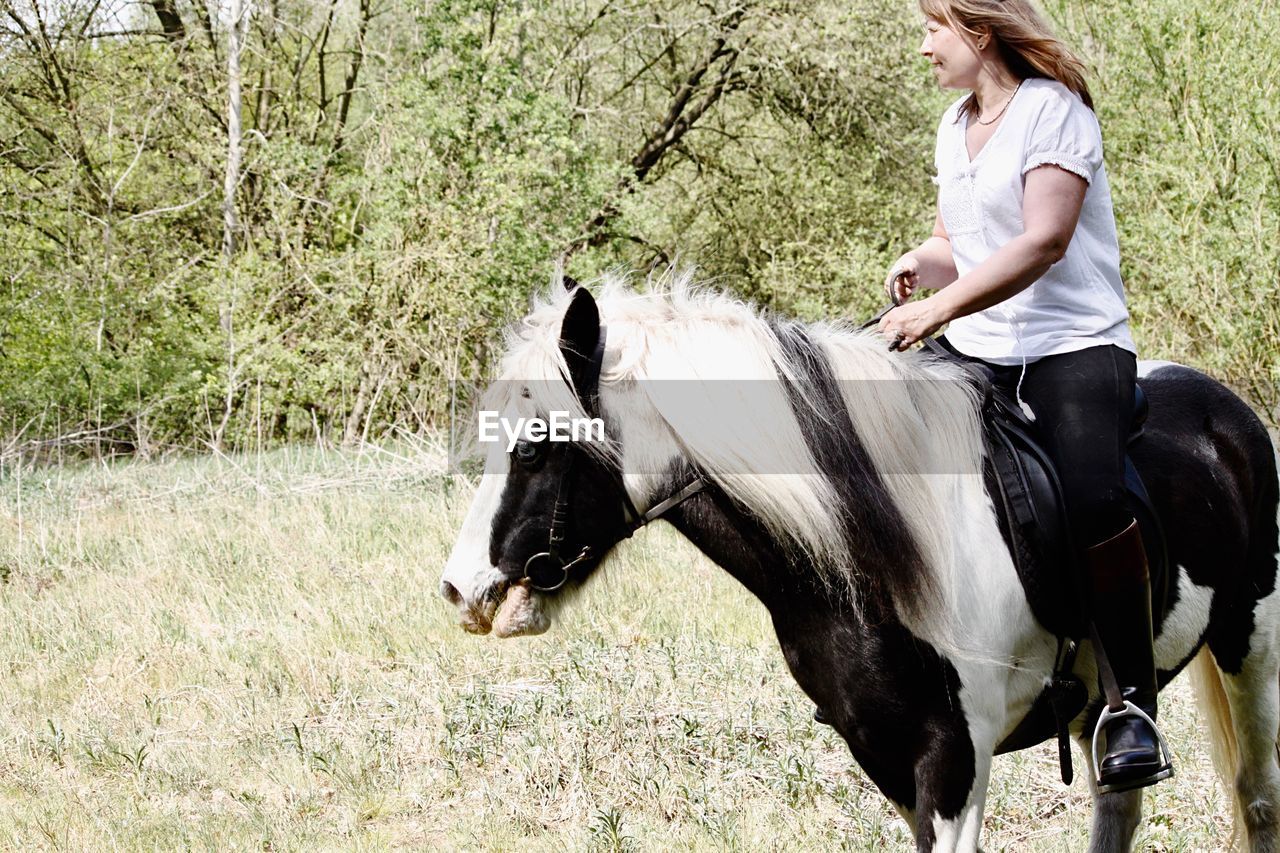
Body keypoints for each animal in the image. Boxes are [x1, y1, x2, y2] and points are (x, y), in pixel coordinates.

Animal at [442, 277, 1280, 850]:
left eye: (537, 445)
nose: (461, 588)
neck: (868, 557)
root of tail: (1224, 408)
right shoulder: (886, 752)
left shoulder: (955, 755)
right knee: (1120, 798)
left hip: (1250, 641)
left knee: (1257, 797)